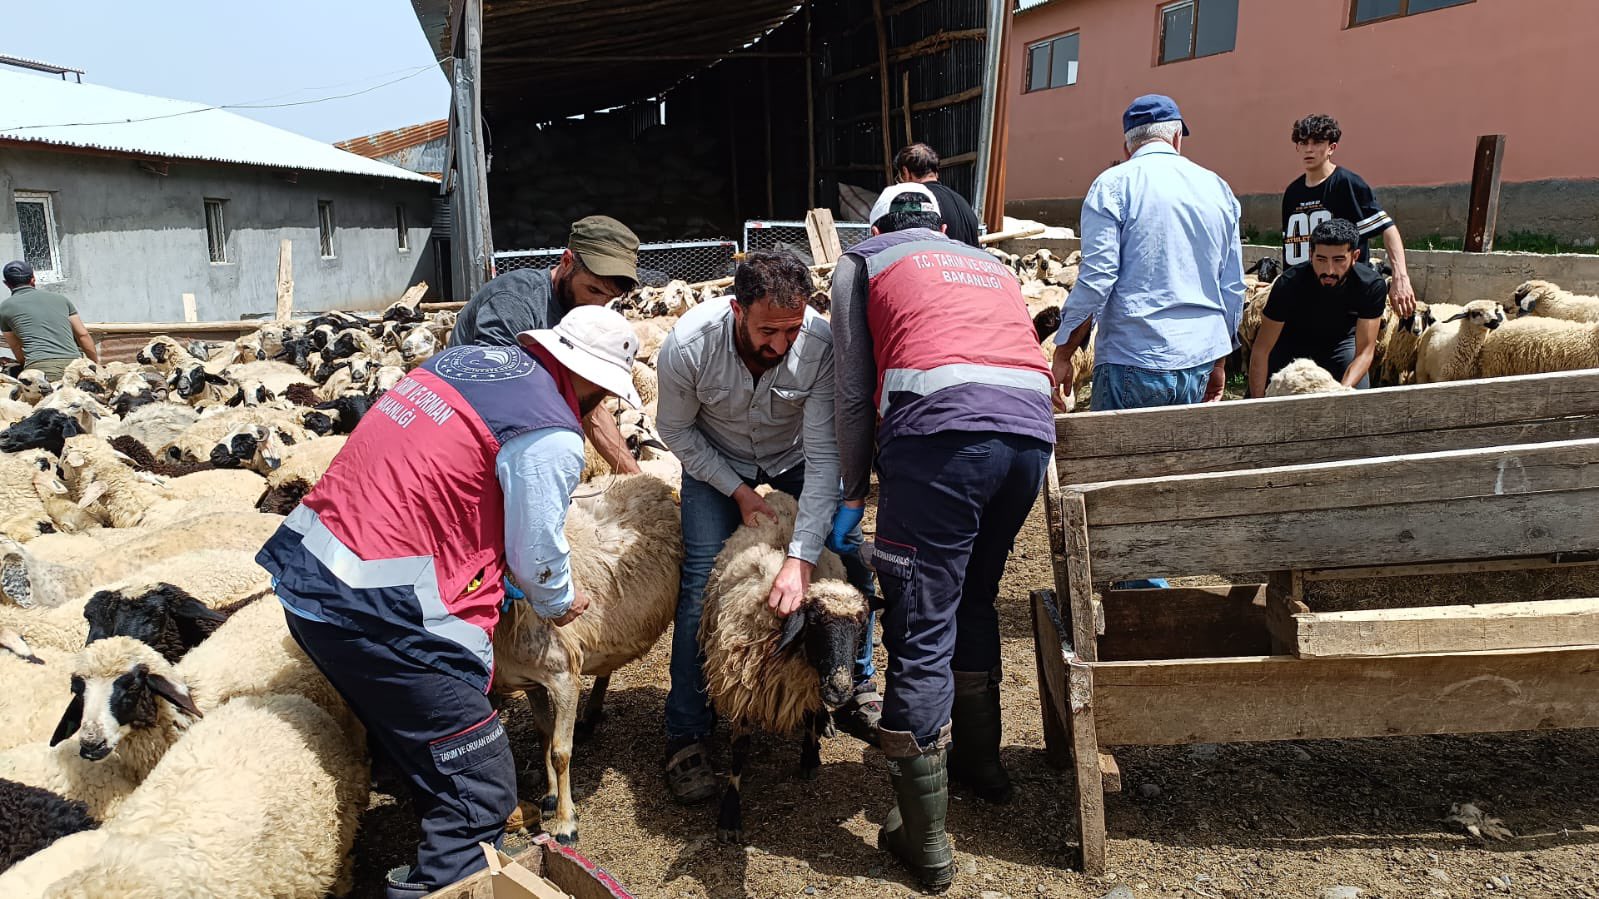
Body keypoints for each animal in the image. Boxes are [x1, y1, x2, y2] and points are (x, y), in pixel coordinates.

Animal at [492, 472, 683, 844]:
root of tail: (652, 479)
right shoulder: (531, 680)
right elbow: (543, 732)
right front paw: (551, 797)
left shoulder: (563, 675)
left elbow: (560, 750)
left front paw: (566, 823)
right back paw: (592, 713)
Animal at [697, 490, 868, 843]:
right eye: (814, 622)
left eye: (861, 629)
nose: (840, 690)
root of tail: (776, 494)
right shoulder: (743, 686)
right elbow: (740, 750)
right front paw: (730, 815)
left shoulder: (810, 683)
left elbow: (811, 717)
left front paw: (810, 755)